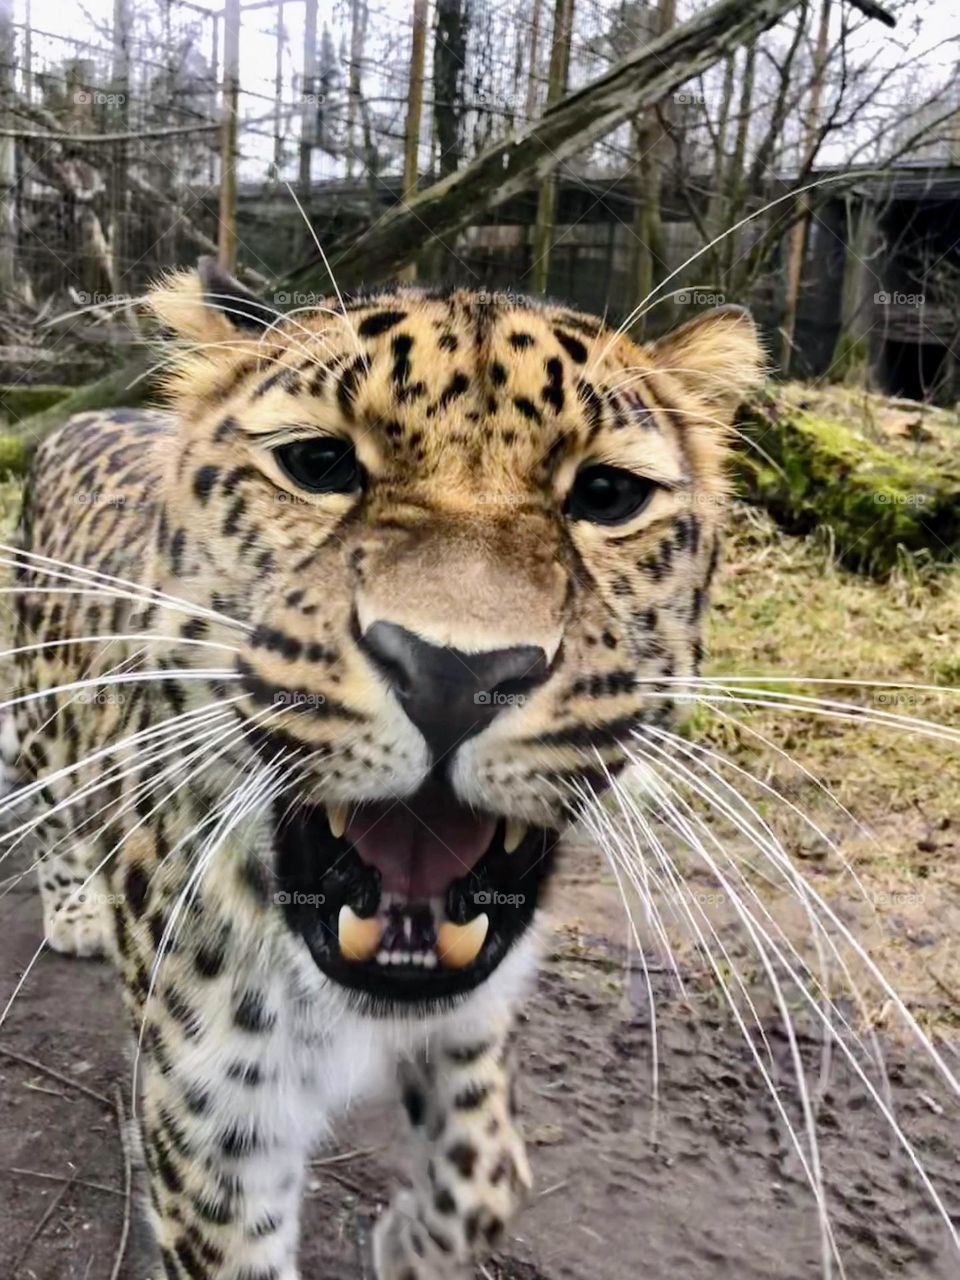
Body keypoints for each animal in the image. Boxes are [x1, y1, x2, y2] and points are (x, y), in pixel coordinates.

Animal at [1, 259, 768, 1280]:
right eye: (318, 466)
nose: (455, 675)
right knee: (50, 810)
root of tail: (85, 417)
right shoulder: (218, 1125)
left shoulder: (476, 1007)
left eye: (608, 495)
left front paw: (419, 1240)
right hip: (36, 713)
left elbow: (489, 1165)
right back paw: (78, 919)